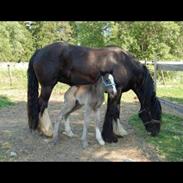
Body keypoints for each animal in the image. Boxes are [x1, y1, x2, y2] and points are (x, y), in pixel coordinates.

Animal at [27, 41, 162, 143]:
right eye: (154, 112)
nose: (156, 132)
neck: (124, 64)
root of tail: (40, 51)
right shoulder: (115, 91)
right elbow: (112, 111)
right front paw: (109, 137)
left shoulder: (118, 92)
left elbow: (117, 111)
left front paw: (119, 132)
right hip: (47, 86)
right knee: (42, 104)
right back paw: (47, 131)